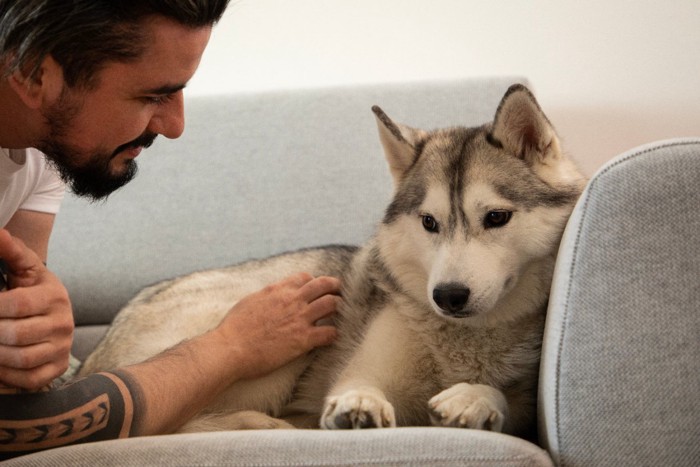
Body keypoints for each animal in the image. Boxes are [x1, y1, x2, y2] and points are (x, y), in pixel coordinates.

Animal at [79, 84, 588, 438]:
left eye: (496, 217)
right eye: (429, 222)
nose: (447, 296)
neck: (466, 342)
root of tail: (93, 361)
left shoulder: (523, 405)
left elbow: (503, 399)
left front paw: (476, 398)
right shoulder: (362, 371)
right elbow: (358, 387)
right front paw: (358, 405)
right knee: (161, 424)